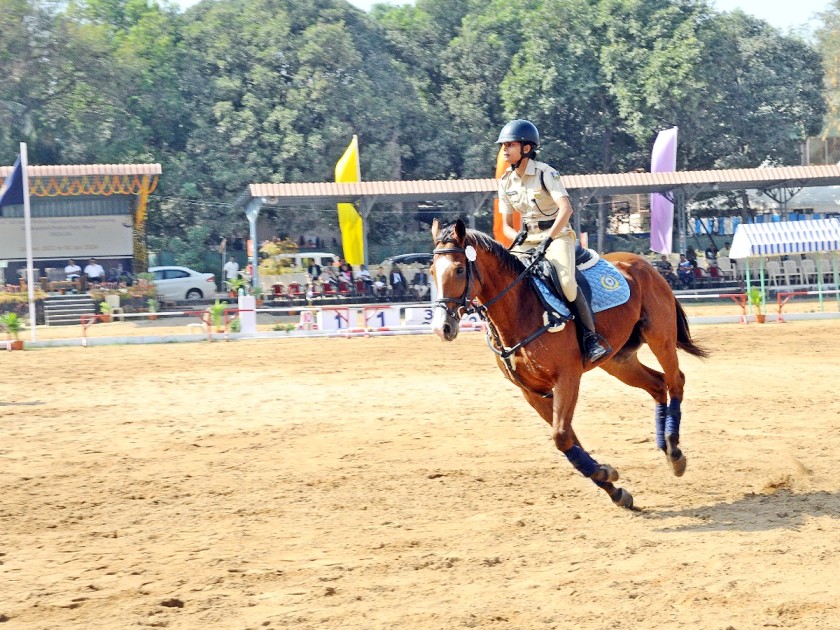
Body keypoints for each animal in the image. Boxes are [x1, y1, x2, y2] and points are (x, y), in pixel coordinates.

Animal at [430, 220, 704, 512]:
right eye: (432, 271)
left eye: (459, 269)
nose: (442, 328)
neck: (520, 310)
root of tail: (642, 262)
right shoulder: (532, 391)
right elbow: (568, 437)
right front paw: (613, 487)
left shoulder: (567, 377)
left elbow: (561, 435)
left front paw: (605, 473)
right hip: (618, 360)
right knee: (657, 385)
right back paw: (664, 445)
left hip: (660, 336)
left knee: (676, 380)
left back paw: (674, 452)